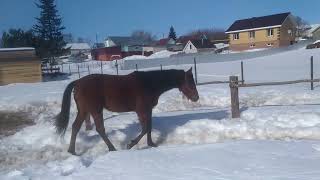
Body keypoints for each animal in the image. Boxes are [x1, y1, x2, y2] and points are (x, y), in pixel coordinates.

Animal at [56, 67, 199, 155]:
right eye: (190, 83)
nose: (196, 98)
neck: (149, 83)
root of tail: (77, 82)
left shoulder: (148, 110)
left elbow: (149, 127)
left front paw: (151, 144)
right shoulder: (141, 111)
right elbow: (145, 128)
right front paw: (131, 144)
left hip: (84, 111)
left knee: (75, 127)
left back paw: (72, 151)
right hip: (95, 110)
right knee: (100, 129)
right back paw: (112, 148)